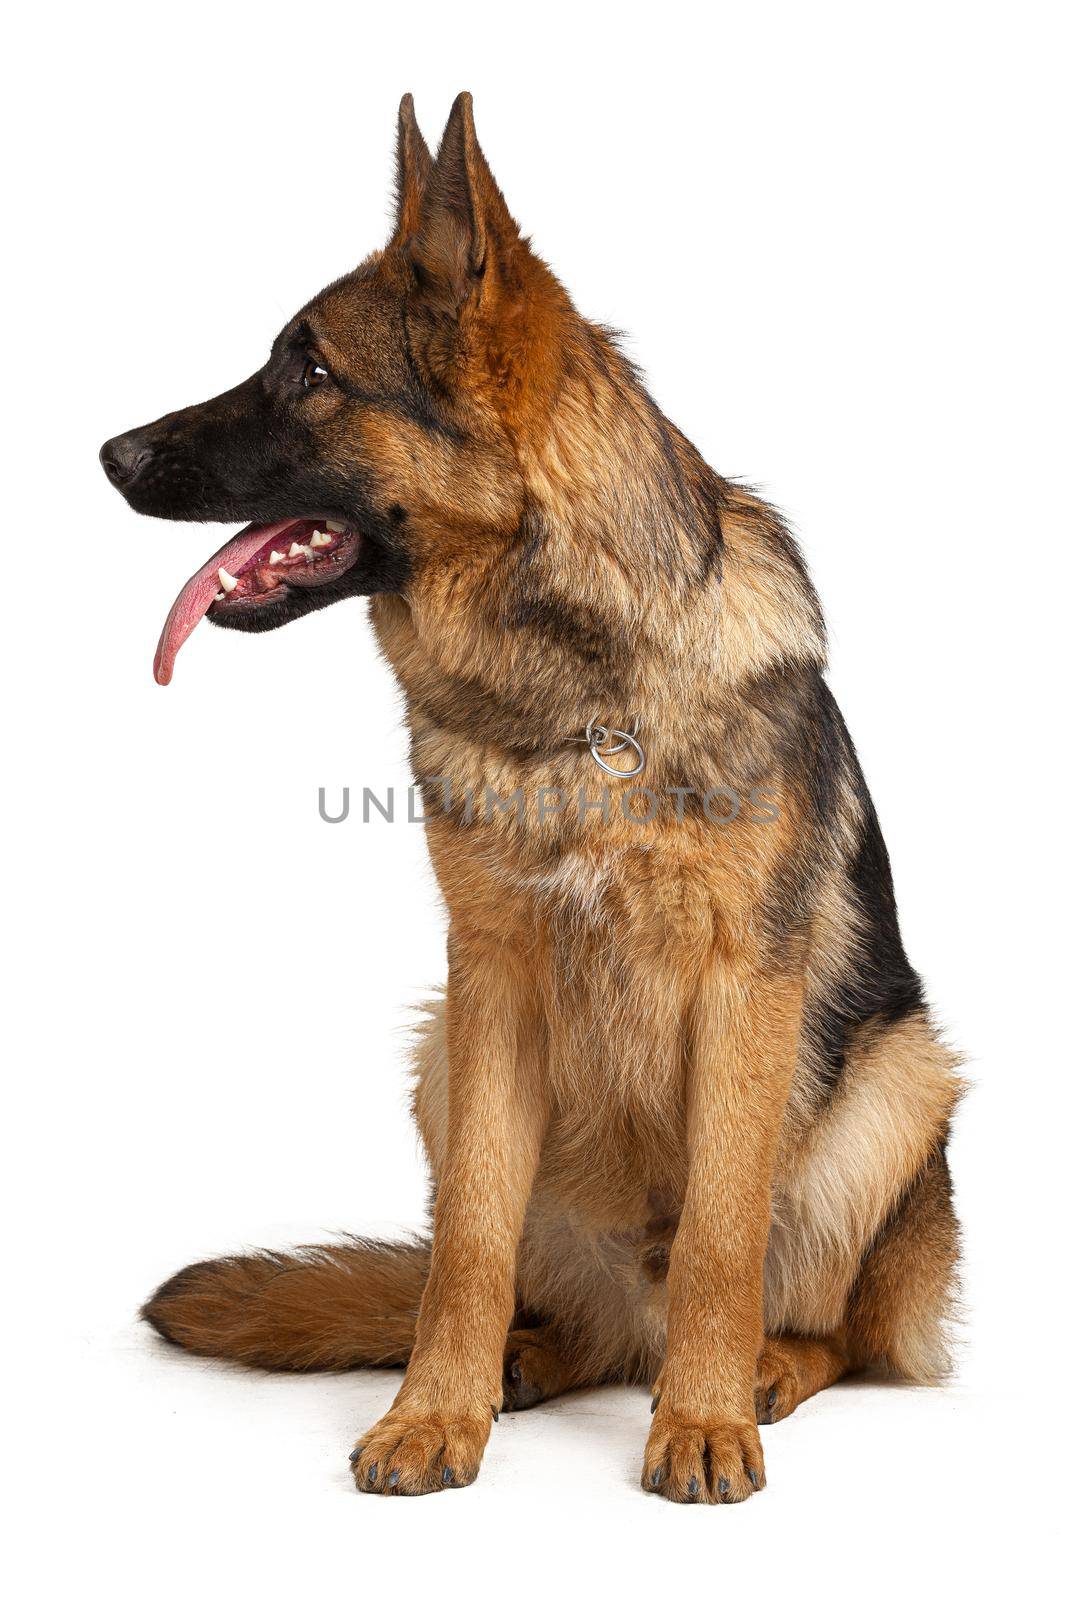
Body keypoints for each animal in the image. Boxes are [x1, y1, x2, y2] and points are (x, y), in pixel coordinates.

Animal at [97, 96, 953, 1497]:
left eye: (309, 372)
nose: (109, 451)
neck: (577, 696)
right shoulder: (489, 981)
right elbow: (468, 1240)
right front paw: (433, 1409)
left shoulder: (746, 987)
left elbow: (723, 1232)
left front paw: (702, 1419)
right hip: (435, 1055)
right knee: (562, 1304)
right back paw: (530, 1356)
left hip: (904, 1079)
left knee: (841, 1325)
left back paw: (759, 1370)